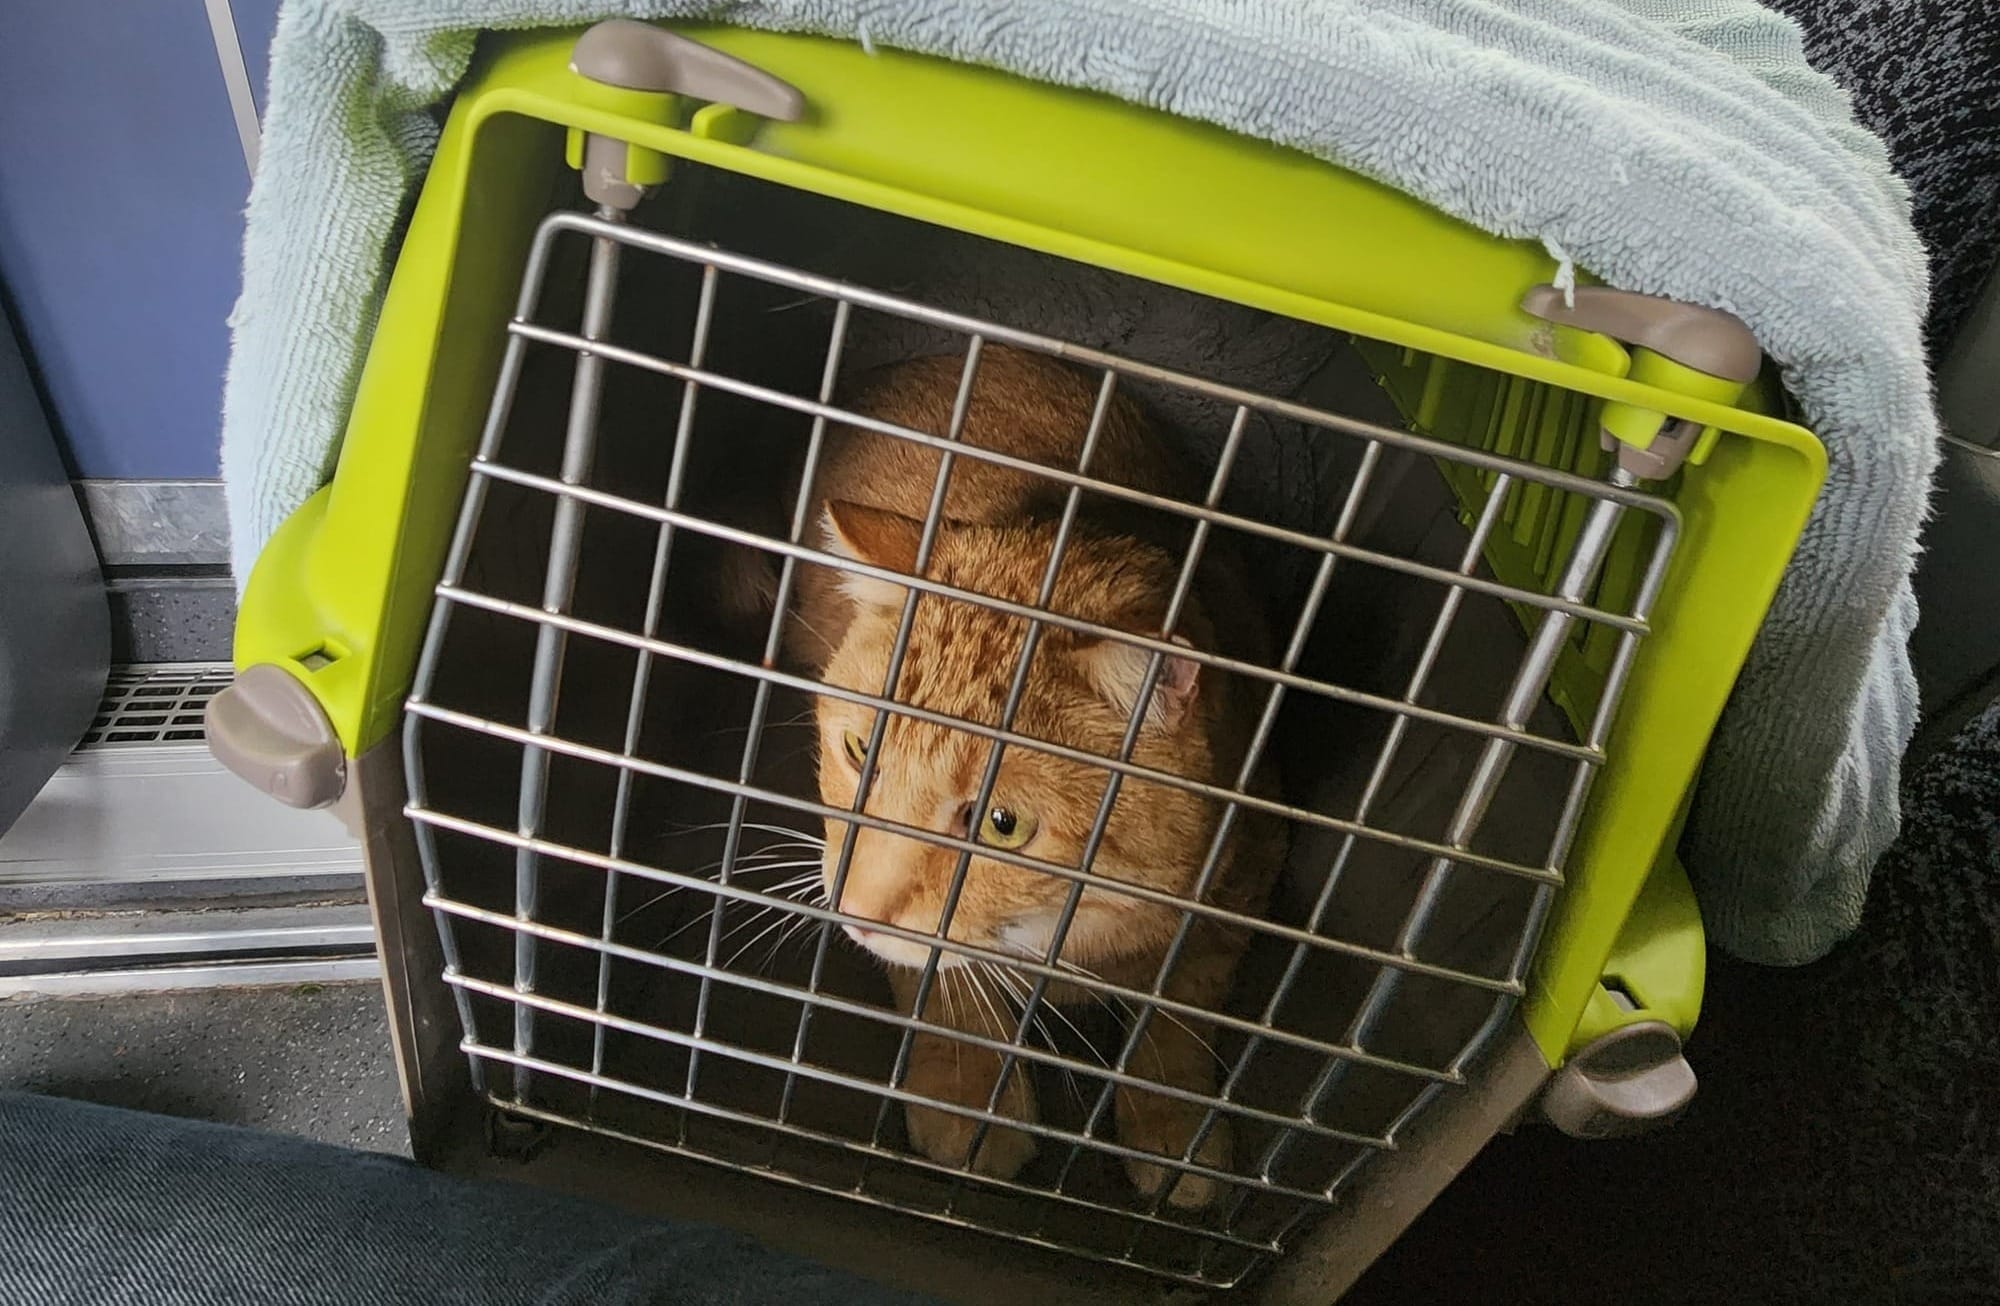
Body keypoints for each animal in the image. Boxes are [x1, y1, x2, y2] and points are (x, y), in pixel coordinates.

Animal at [780, 344, 1280, 1200]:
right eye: (861, 753)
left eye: (1002, 825)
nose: (857, 907)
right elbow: (939, 980)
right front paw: (966, 1091)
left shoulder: (1244, 876)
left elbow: (1182, 1004)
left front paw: (1172, 1120)